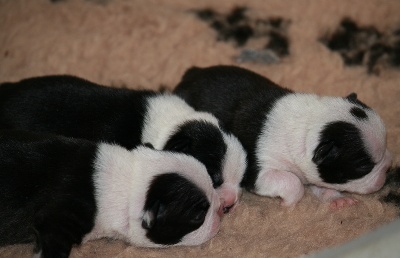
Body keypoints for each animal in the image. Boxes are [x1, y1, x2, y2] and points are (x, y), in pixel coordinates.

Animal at [173, 65, 392, 209]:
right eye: (363, 166)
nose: (388, 168)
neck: (309, 127)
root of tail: (191, 73)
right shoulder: (259, 171)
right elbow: (293, 183)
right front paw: (288, 202)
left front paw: (336, 198)